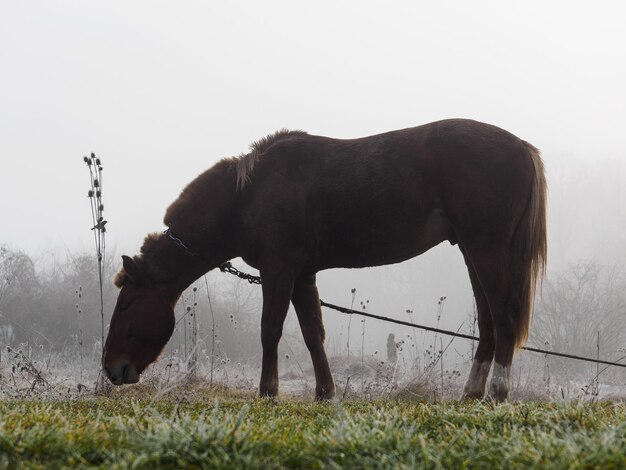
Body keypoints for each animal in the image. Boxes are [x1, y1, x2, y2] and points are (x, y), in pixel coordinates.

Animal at [101, 119, 540, 402]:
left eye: (126, 305)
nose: (111, 369)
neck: (249, 194)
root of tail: (522, 146)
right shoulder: (302, 275)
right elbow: (313, 334)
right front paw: (325, 393)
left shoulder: (279, 270)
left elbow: (271, 329)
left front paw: (268, 392)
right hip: (473, 252)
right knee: (488, 321)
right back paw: (472, 391)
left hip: (485, 249)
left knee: (503, 316)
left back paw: (498, 391)